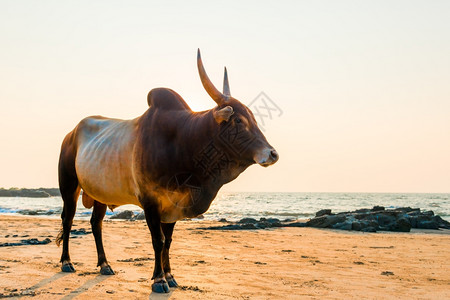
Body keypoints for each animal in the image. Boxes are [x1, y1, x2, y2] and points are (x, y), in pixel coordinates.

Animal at [57, 49, 278, 292]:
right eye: (238, 120)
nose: (272, 154)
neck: (183, 142)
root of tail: (71, 133)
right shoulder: (150, 201)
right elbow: (158, 240)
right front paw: (159, 279)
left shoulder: (175, 203)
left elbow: (168, 242)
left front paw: (171, 276)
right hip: (69, 186)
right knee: (68, 219)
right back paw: (66, 262)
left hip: (100, 194)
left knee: (96, 224)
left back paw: (105, 265)